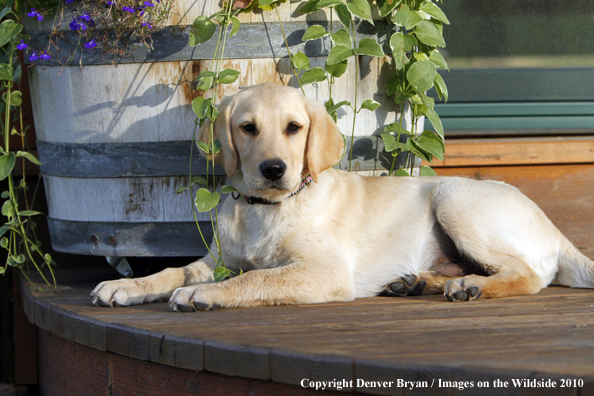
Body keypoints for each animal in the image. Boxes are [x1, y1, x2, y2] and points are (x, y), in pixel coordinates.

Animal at [90, 82, 588, 310]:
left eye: (294, 127)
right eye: (247, 128)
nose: (274, 170)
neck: (266, 210)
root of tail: (555, 231)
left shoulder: (325, 270)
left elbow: (258, 278)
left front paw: (206, 295)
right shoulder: (219, 259)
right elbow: (174, 270)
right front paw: (127, 285)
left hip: (453, 196)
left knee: (529, 275)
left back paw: (470, 286)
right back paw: (420, 281)